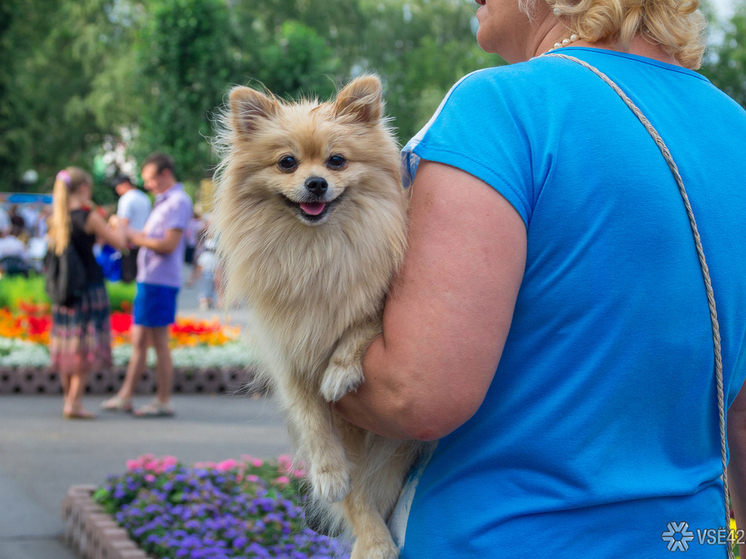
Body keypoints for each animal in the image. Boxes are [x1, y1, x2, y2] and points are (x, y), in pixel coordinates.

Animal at [212, 75, 424, 559]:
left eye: (337, 160)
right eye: (287, 162)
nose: (315, 183)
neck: (315, 251)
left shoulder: (379, 306)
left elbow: (359, 327)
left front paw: (340, 371)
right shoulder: (289, 358)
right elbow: (311, 418)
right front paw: (327, 471)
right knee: (357, 495)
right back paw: (372, 537)